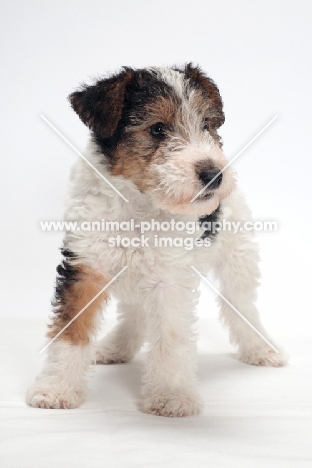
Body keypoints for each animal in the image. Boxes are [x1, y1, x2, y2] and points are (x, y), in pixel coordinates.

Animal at [27, 63, 288, 416]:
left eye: (206, 125)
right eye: (158, 129)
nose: (214, 175)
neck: (139, 205)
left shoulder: (170, 278)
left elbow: (171, 337)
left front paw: (171, 396)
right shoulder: (84, 265)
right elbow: (70, 330)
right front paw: (56, 388)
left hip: (238, 259)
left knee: (243, 307)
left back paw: (262, 349)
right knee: (134, 312)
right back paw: (115, 347)